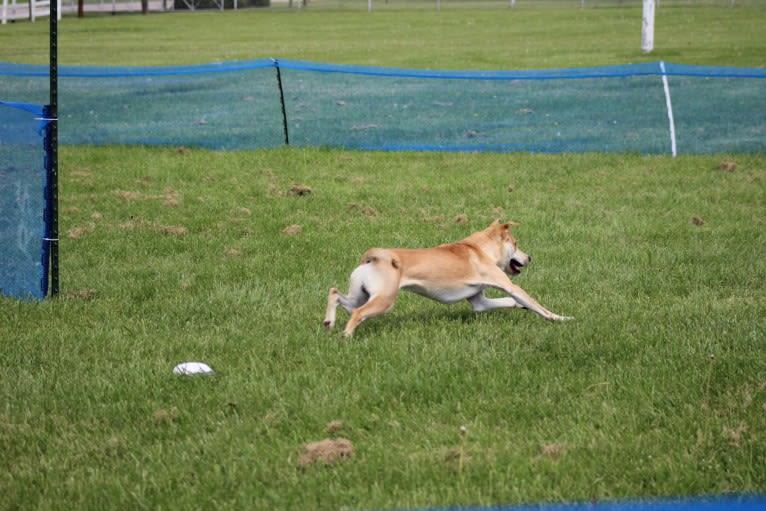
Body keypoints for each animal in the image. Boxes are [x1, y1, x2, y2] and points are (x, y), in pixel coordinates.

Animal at [320, 219, 572, 336]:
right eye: (516, 244)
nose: (529, 257)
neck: (478, 248)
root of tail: (375, 257)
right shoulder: (506, 284)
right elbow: (534, 303)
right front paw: (562, 318)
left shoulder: (479, 300)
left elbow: (504, 302)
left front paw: (520, 306)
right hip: (384, 300)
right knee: (358, 313)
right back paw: (346, 334)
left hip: (360, 293)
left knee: (337, 295)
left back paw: (329, 322)